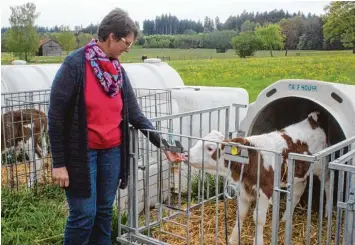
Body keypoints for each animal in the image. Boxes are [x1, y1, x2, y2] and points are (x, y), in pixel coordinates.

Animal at [185, 112, 332, 245]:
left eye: (210, 148)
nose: (186, 154)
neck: (252, 159)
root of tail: (311, 120)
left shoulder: (265, 190)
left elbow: (259, 219)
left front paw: (258, 241)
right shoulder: (243, 189)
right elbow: (241, 214)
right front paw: (233, 239)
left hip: (322, 166)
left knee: (327, 184)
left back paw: (326, 212)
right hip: (299, 174)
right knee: (297, 193)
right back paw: (285, 218)